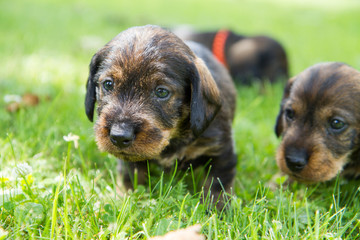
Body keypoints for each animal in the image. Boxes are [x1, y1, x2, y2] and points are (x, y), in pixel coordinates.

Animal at [83, 25, 238, 207]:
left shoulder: (221, 152)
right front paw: (125, 199)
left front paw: (216, 209)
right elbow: (131, 177)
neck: (174, 138)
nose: (119, 136)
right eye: (108, 84)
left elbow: (216, 185)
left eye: (161, 92)